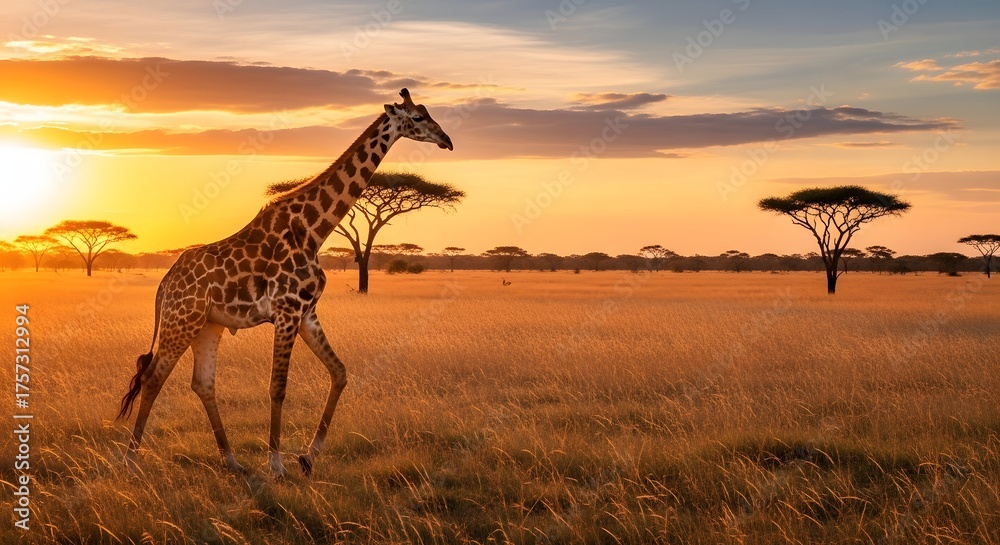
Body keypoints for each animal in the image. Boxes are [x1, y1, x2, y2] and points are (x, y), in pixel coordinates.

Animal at [117, 89, 453, 478]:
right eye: (415, 117)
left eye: (427, 112)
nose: (446, 140)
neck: (312, 231)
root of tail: (165, 285)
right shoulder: (287, 310)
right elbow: (278, 386)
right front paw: (276, 464)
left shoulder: (306, 313)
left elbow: (340, 373)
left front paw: (308, 457)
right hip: (181, 321)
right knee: (153, 377)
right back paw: (130, 460)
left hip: (208, 326)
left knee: (202, 383)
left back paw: (231, 461)